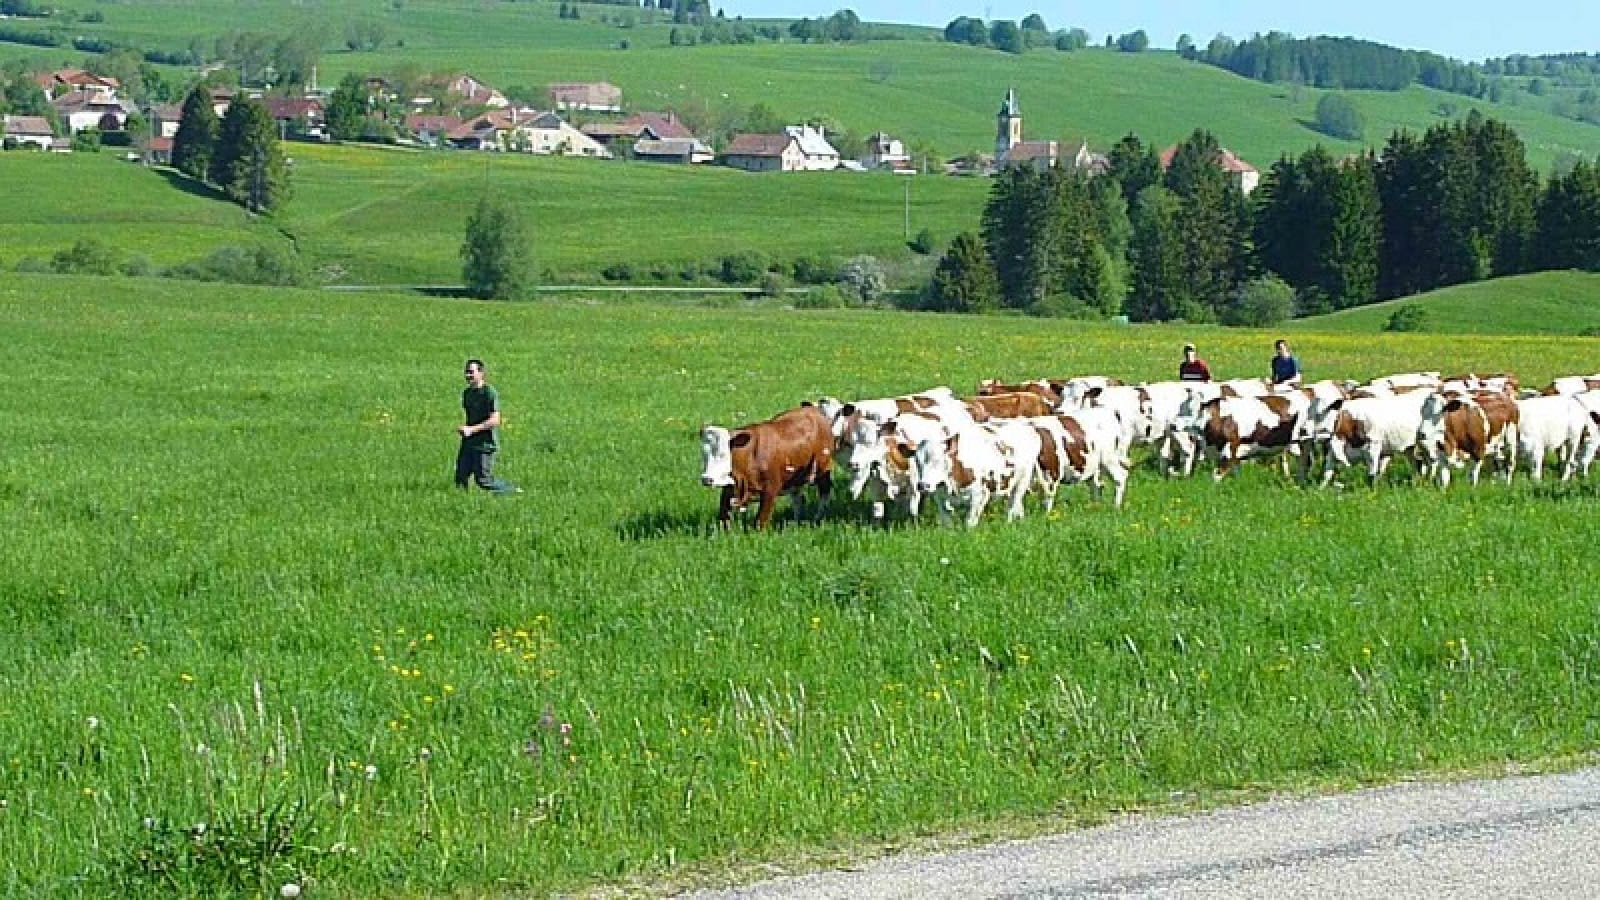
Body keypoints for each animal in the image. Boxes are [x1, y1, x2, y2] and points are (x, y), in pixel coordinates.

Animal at [700, 400, 838, 525]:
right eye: (704, 455)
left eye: (723, 454)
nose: (706, 479)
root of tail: (811, 409)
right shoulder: (729, 488)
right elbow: (724, 517)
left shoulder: (771, 488)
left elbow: (760, 520)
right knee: (798, 499)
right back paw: (795, 522)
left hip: (823, 468)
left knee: (824, 494)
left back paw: (817, 518)